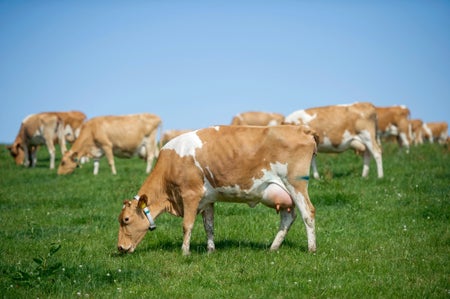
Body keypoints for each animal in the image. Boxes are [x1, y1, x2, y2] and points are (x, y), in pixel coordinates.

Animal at [118, 125, 318, 256]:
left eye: (126, 220)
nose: (120, 247)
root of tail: (300, 129)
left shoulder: (190, 194)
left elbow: (187, 225)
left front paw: (185, 252)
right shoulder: (207, 199)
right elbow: (209, 226)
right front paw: (210, 250)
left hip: (296, 185)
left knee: (308, 213)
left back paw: (311, 249)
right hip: (283, 194)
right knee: (288, 218)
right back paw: (273, 248)